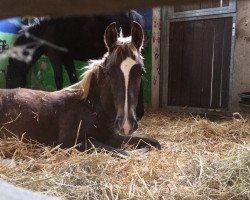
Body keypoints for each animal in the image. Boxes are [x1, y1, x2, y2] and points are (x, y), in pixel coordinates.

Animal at [0, 21, 160, 155]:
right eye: (109, 71)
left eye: (141, 71)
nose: (126, 125)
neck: (91, 107)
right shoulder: (71, 143)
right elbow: (124, 153)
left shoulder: (112, 137)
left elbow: (154, 143)